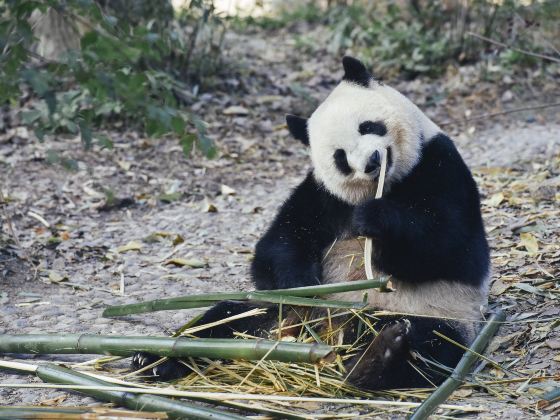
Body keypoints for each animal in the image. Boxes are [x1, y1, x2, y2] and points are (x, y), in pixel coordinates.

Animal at [132, 56, 490, 390]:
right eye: (341, 157)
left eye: (368, 126)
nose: (372, 162)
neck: (386, 184)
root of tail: (328, 333)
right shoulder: (321, 195)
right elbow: (276, 246)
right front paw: (302, 280)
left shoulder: (439, 164)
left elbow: (451, 247)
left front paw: (375, 221)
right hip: (271, 315)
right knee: (222, 320)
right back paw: (154, 359)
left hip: (432, 310)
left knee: (432, 341)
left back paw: (378, 359)